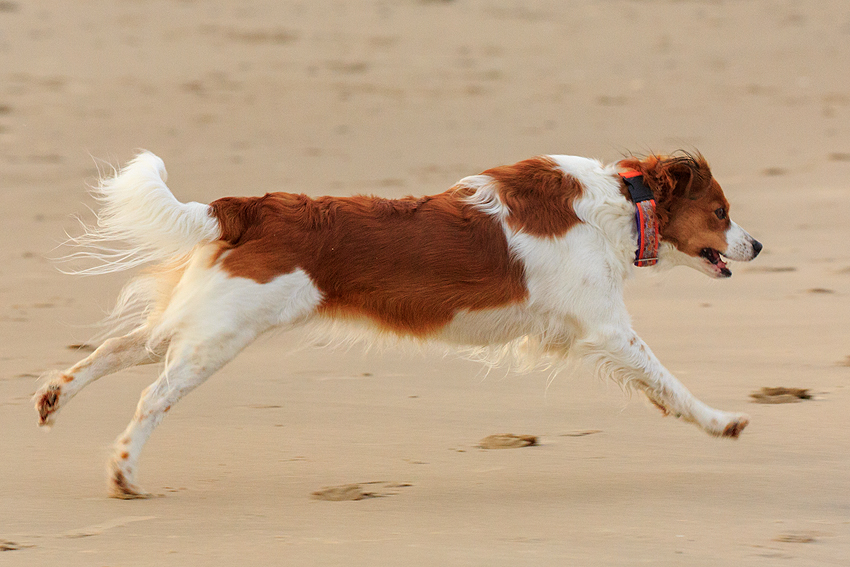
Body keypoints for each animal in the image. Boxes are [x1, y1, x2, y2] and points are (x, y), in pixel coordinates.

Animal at [33, 150, 760, 496]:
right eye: (721, 212)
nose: (757, 245)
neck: (618, 203)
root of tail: (252, 206)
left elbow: (656, 385)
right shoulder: (606, 327)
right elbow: (667, 381)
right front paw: (721, 422)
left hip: (201, 320)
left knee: (114, 348)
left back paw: (52, 398)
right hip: (219, 336)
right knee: (151, 395)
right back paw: (124, 474)